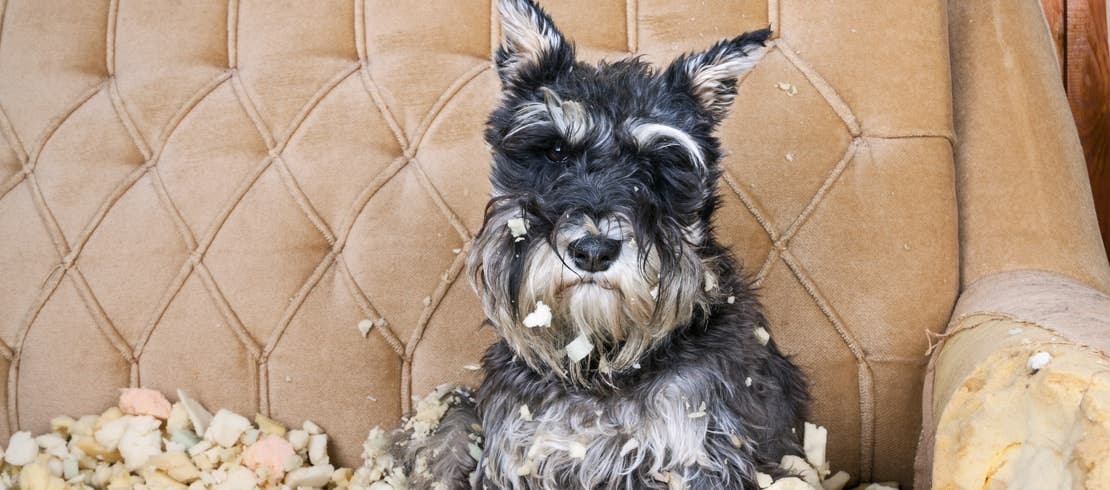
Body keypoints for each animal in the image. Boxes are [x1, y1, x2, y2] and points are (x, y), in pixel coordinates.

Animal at [390, 1, 808, 486]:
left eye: (655, 167)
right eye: (555, 153)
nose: (592, 251)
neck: (599, 364)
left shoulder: (699, 454)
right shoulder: (521, 452)